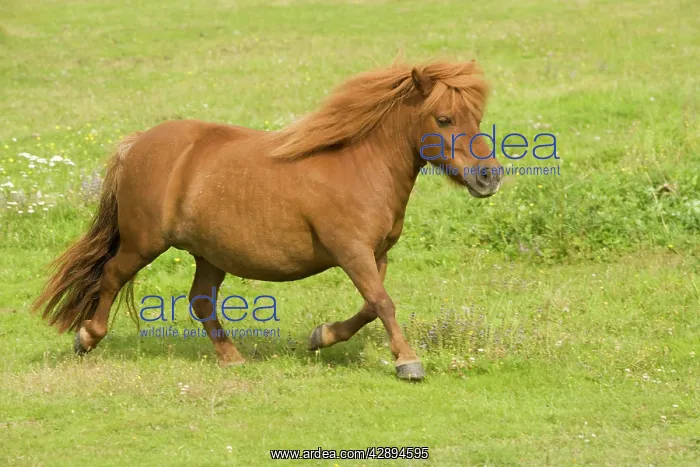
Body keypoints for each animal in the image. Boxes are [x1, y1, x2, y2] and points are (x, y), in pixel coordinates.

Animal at [32, 60, 502, 381]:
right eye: (444, 118)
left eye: (476, 117)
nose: (489, 176)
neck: (360, 167)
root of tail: (138, 143)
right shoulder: (352, 252)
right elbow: (384, 303)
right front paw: (408, 362)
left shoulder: (375, 254)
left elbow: (372, 305)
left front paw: (321, 336)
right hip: (143, 241)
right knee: (112, 275)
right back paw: (87, 337)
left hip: (210, 254)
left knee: (200, 301)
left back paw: (232, 358)